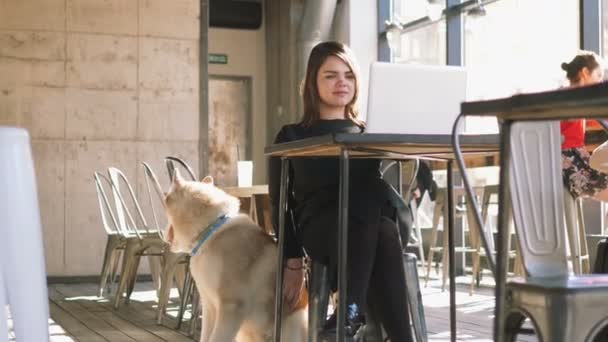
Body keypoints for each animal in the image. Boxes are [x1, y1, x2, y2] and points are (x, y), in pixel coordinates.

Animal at [164, 170, 306, 342]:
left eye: (165, 198)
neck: (210, 230)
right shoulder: (209, 306)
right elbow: (205, 337)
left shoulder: (231, 307)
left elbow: (216, 338)